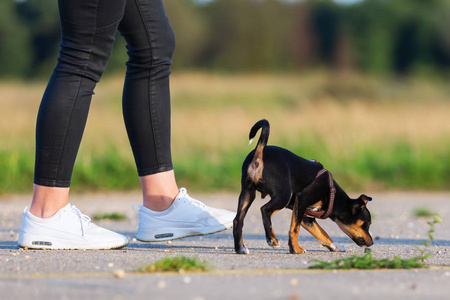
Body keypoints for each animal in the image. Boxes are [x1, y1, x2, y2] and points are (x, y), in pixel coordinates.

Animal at [232, 118, 372, 254]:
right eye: (367, 224)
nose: (372, 243)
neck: (332, 194)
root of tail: (259, 153)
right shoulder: (302, 200)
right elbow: (295, 229)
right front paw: (295, 249)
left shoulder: (304, 214)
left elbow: (321, 233)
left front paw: (335, 246)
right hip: (283, 196)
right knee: (265, 210)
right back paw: (272, 239)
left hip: (247, 193)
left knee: (238, 220)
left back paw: (241, 248)